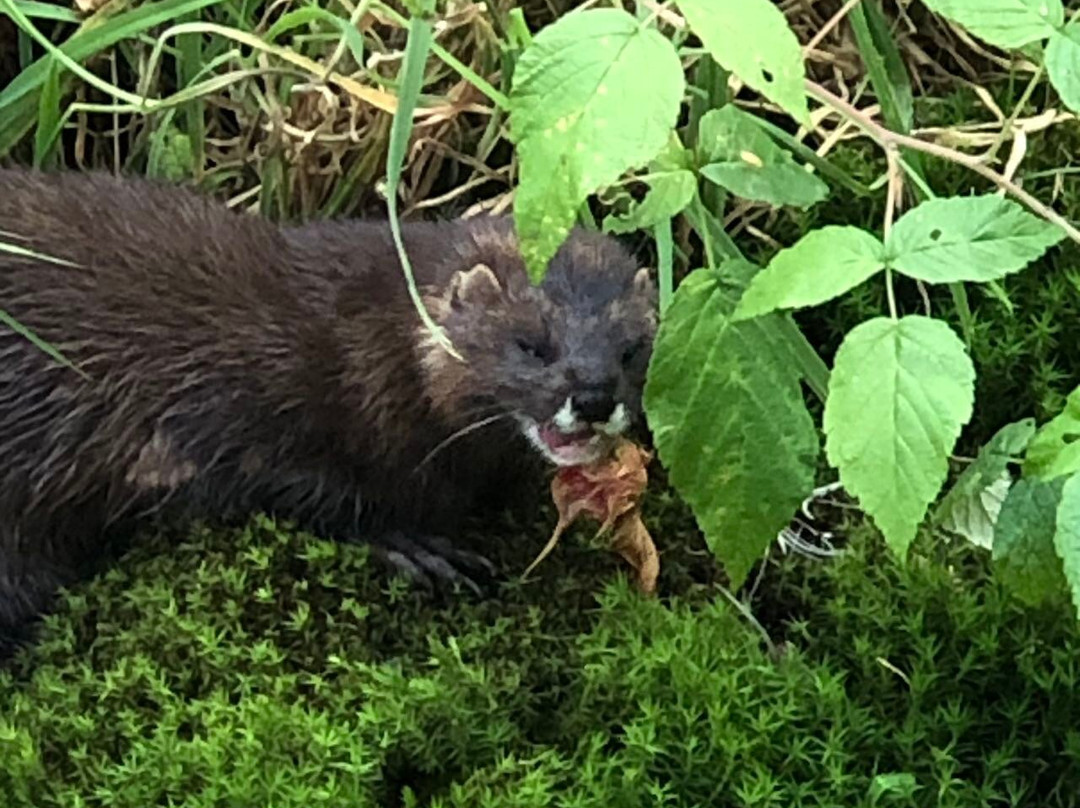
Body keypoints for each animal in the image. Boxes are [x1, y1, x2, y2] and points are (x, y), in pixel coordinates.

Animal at [0, 168, 658, 642]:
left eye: (631, 350)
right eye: (531, 343)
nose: (594, 395)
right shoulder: (248, 410)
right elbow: (308, 490)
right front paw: (417, 546)